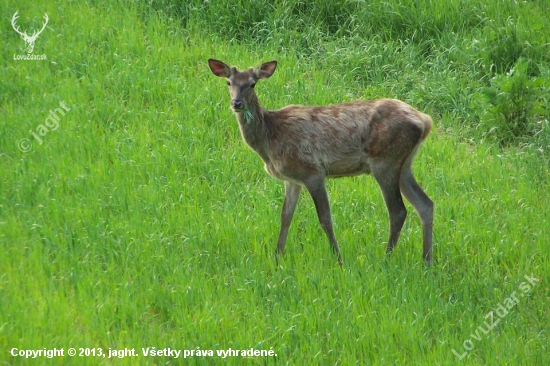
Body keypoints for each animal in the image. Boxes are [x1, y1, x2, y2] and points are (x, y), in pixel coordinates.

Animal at [208, 57, 436, 264]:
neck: (270, 140)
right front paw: (277, 258)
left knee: (398, 211)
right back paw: (426, 260)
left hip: (385, 160)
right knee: (425, 204)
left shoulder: (312, 171)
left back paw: (386, 259)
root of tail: (425, 121)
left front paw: (339, 260)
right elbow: (285, 217)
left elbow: (325, 219)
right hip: (404, 164)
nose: (237, 103)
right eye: (228, 82)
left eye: (252, 84)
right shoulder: (291, 179)